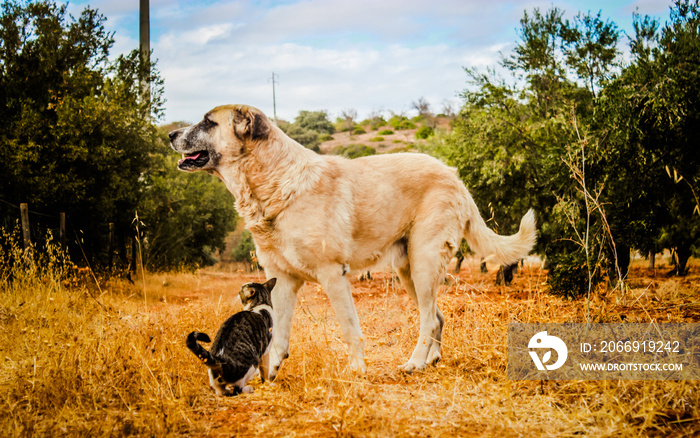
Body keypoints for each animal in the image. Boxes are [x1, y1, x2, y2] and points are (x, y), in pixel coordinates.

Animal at [171, 104, 536, 378]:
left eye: (208, 121)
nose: (170, 134)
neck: (274, 182)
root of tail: (454, 175)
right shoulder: (283, 280)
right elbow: (278, 334)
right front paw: (270, 373)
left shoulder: (333, 275)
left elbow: (348, 327)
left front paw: (357, 369)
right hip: (410, 270)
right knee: (436, 316)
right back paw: (430, 361)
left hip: (424, 262)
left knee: (430, 319)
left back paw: (414, 363)